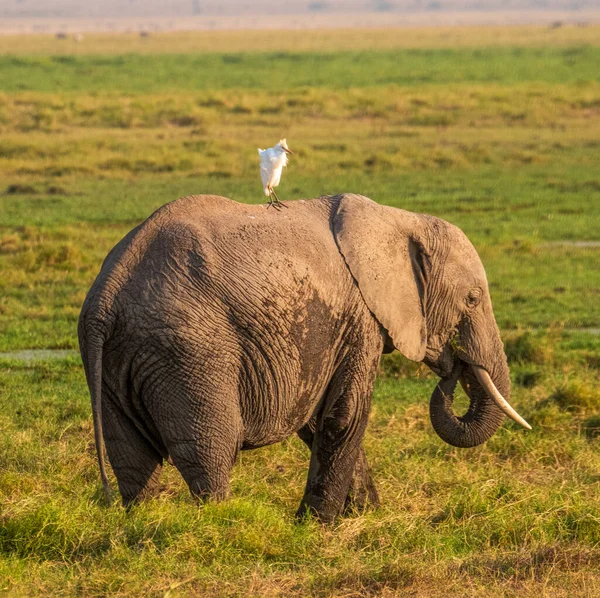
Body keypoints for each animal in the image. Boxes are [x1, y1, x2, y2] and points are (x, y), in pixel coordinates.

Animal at [78, 195, 528, 524]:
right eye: (473, 299)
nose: (454, 363)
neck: (399, 221)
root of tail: (107, 295)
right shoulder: (359, 318)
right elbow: (343, 415)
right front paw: (317, 525)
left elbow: (317, 420)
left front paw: (364, 515)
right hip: (190, 352)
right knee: (210, 451)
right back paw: (221, 525)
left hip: (120, 360)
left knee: (132, 457)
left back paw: (143, 523)